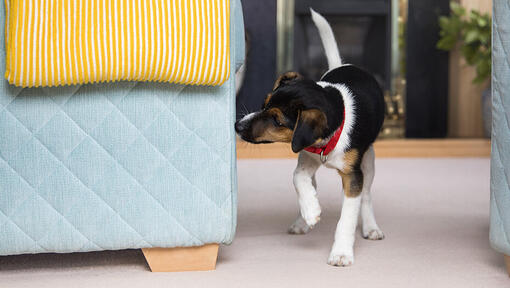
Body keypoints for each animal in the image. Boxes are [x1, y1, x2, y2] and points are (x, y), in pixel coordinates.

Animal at [234, 9, 382, 266]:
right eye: (263, 104)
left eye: (276, 120)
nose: (237, 126)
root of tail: (343, 65)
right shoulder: (305, 156)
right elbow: (298, 178)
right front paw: (311, 211)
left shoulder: (353, 176)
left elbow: (348, 217)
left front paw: (341, 253)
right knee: (311, 184)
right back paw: (302, 219)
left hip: (368, 161)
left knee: (366, 196)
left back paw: (371, 227)